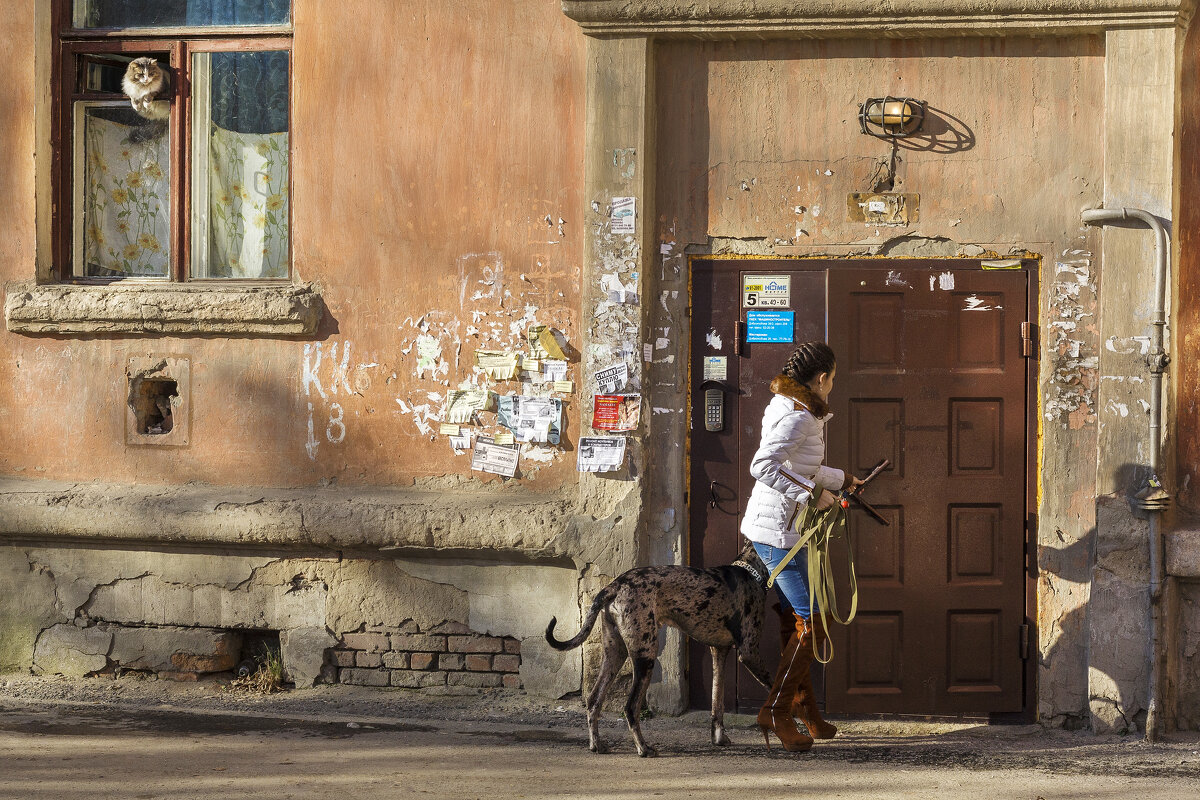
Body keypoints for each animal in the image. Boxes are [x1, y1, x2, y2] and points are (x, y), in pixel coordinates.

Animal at [544, 542, 768, 762]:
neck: (749, 569)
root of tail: (615, 585)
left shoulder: (719, 651)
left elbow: (717, 701)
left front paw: (719, 738)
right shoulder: (749, 653)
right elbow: (773, 685)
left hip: (615, 654)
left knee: (593, 700)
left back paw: (597, 744)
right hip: (645, 656)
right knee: (630, 707)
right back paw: (643, 748)